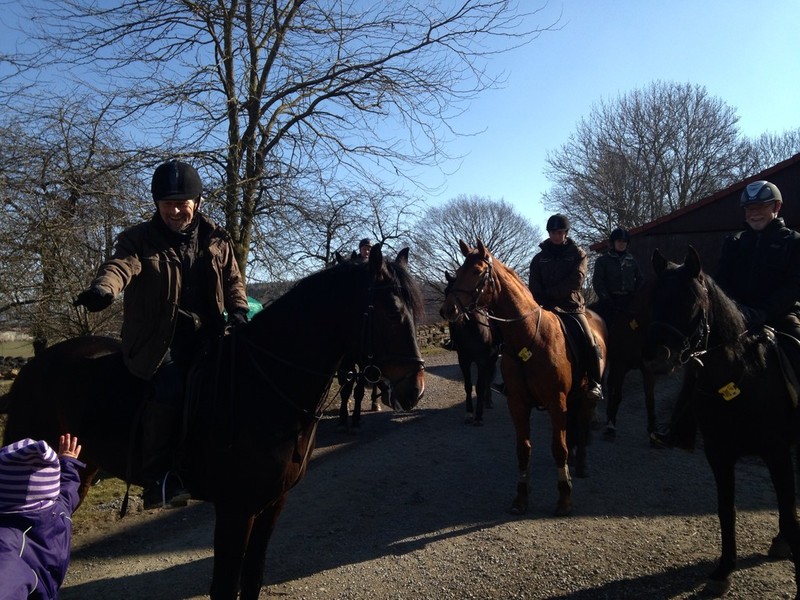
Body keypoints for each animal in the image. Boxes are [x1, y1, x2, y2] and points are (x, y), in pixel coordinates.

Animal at [1, 244, 425, 600]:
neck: (262, 381)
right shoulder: (236, 509)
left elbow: (252, 579)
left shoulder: (273, 504)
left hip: (84, 465)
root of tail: (33, 368)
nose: (414, 389)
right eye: (390, 312)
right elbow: (224, 586)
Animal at [442, 271, 500, 425]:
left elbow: (479, 386)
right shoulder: (464, 360)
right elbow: (468, 386)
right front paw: (469, 413)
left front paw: (478, 415)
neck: (471, 328)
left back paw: (488, 401)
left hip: (491, 358)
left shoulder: (482, 360)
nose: (449, 311)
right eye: (446, 291)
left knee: (488, 378)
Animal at [589, 280, 660, 444]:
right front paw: (611, 428)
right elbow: (618, 395)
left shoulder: (648, 369)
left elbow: (650, 399)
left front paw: (653, 432)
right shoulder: (620, 365)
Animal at [641, 245, 800, 598]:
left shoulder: (778, 451)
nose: (655, 357)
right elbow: (726, 510)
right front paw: (723, 569)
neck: (743, 377)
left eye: (691, 301)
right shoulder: (719, 454)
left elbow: (785, 500)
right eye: (652, 297)